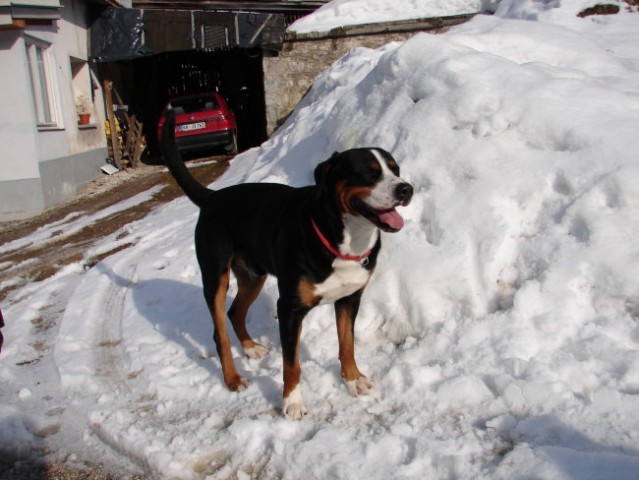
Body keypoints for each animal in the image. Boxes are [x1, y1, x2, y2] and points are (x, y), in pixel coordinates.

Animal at [159, 111, 410, 416]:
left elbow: (347, 344)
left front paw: (353, 380)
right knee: (220, 333)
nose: (406, 189)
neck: (343, 237)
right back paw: (233, 377)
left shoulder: (349, 299)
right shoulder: (290, 308)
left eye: (395, 170)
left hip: (254, 276)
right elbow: (292, 365)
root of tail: (213, 196)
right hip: (216, 276)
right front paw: (292, 403)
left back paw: (250, 348)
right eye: (369, 172)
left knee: (235, 311)